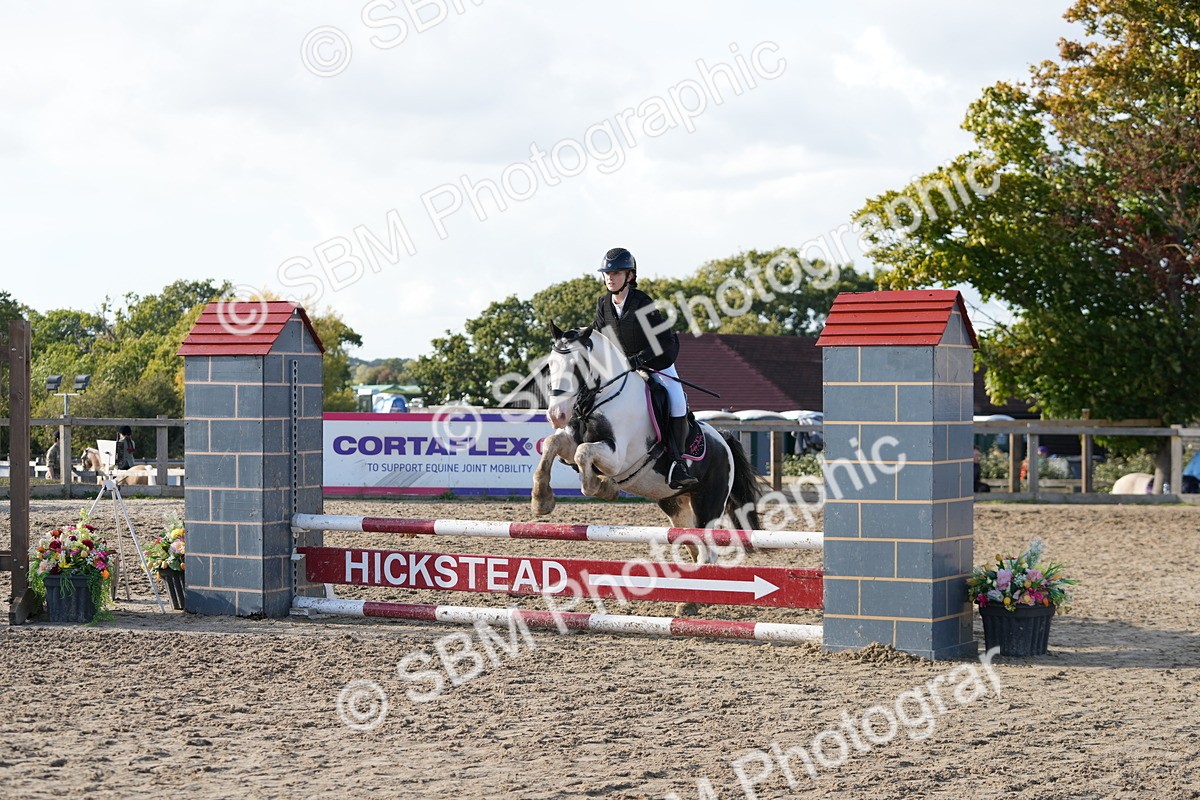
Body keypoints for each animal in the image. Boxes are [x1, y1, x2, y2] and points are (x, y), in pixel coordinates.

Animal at [531, 324, 764, 602]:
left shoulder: (616, 457)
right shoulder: (570, 441)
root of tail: (723, 439)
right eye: (550, 365)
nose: (557, 415)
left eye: (577, 366)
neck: (603, 398)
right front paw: (541, 499)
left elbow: (583, 454)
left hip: (709, 505)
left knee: (708, 551)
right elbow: (552, 443)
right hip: (674, 505)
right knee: (694, 546)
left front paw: (603, 487)